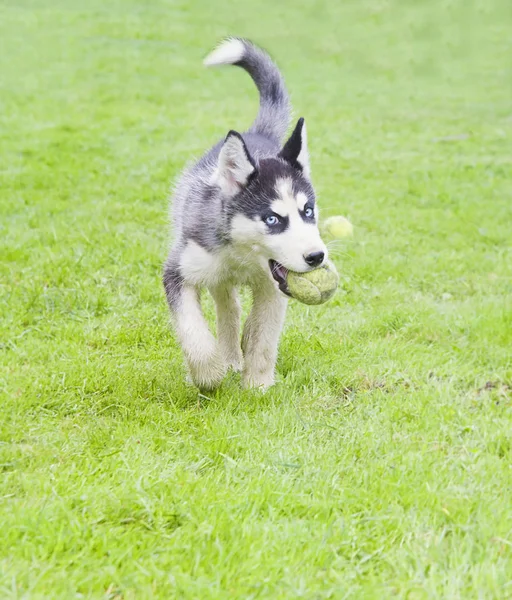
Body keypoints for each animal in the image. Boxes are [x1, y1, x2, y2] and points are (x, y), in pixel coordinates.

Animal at [164, 37, 328, 390]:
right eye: (272, 219)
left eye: (308, 211)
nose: (316, 257)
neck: (242, 255)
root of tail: (258, 136)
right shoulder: (178, 270)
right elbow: (191, 327)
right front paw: (208, 372)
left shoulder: (274, 287)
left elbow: (264, 336)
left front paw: (258, 385)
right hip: (215, 277)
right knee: (229, 308)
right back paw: (227, 357)